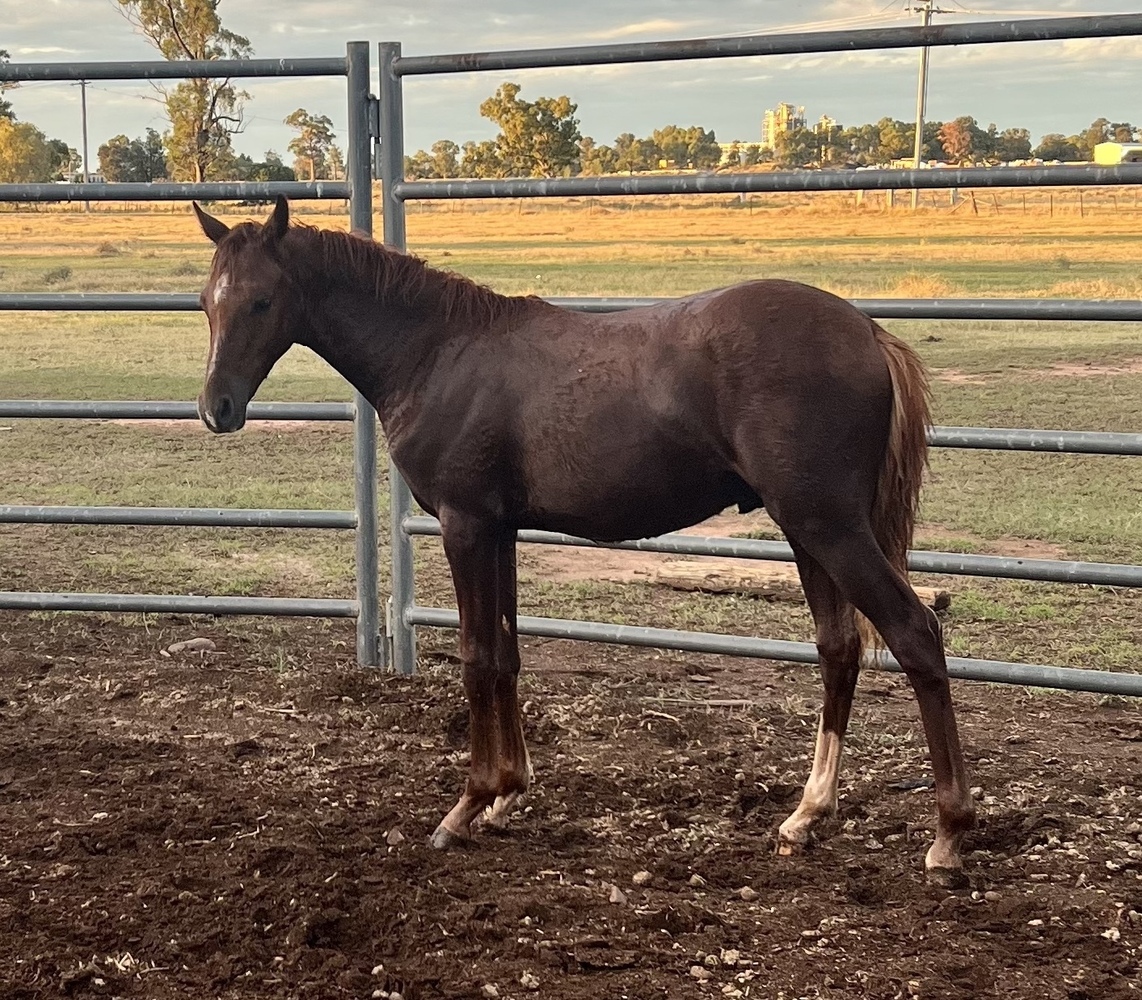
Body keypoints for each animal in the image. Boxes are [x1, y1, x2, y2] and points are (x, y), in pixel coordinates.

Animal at [190, 195, 976, 879]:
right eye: (206, 301)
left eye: (261, 301)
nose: (215, 408)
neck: (438, 351)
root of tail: (868, 332)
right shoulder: (500, 530)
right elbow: (506, 655)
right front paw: (508, 793)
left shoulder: (465, 526)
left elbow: (476, 656)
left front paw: (467, 805)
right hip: (807, 531)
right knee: (838, 649)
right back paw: (806, 816)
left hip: (827, 525)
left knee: (914, 635)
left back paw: (947, 836)